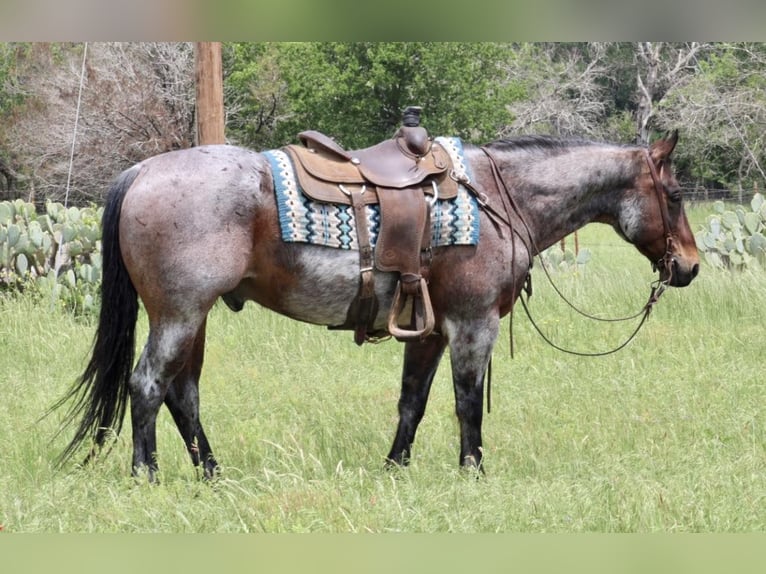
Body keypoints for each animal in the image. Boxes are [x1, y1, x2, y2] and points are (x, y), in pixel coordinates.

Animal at [54, 129, 704, 482]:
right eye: (674, 195)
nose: (691, 267)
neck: (501, 198)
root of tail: (143, 171)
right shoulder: (472, 325)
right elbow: (468, 404)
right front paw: (473, 472)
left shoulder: (431, 332)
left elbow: (412, 403)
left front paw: (395, 468)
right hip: (179, 313)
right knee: (148, 386)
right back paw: (147, 475)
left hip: (195, 318)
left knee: (183, 396)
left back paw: (212, 475)